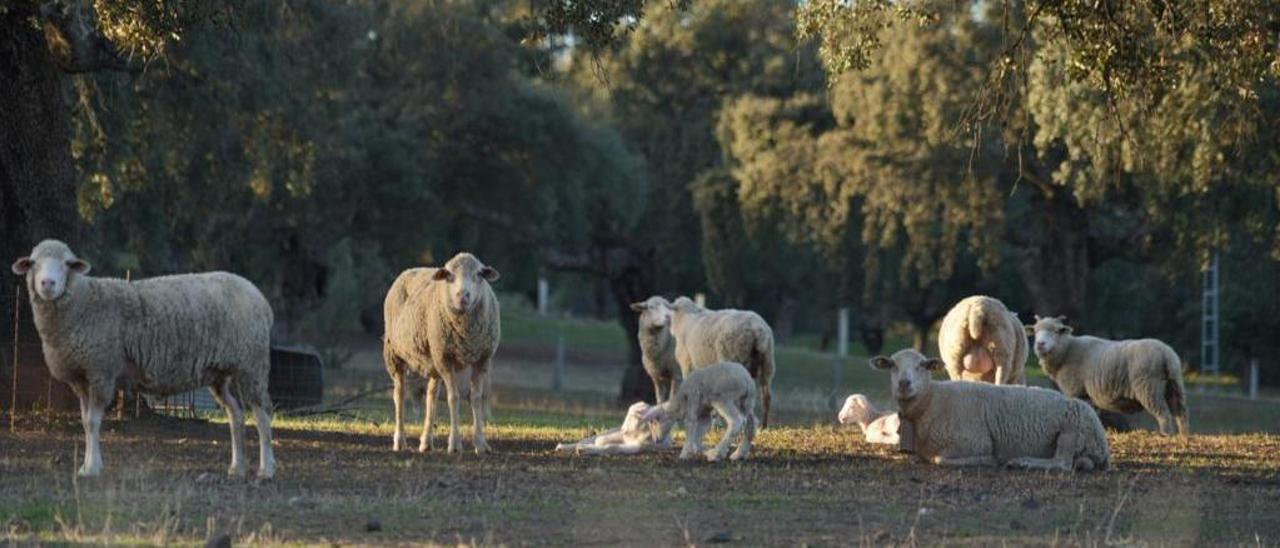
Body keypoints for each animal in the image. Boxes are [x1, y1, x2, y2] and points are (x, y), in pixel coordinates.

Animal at [11, 240, 277, 478]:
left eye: (67, 264)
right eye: (33, 263)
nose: (47, 283)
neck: (83, 303)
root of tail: (260, 297)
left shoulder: (101, 371)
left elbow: (94, 422)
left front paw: (93, 468)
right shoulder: (81, 378)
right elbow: (85, 423)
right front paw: (86, 466)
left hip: (252, 364)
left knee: (263, 415)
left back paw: (266, 469)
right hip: (220, 374)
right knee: (236, 414)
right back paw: (237, 467)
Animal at [378, 252, 499, 453]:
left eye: (479, 274)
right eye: (450, 276)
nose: (462, 296)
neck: (466, 333)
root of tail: (410, 269)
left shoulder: (482, 359)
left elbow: (475, 398)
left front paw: (481, 444)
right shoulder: (446, 358)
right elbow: (453, 398)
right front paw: (455, 444)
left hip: (434, 359)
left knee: (431, 396)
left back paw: (426, 442)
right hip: (395, 354)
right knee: (399, 395)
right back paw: (400, 440)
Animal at [655, 295, 773, 427]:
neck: (685, 318)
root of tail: (757, 329)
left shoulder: (687, 364)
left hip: (733, 357)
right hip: (767, 362)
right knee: (766, 395)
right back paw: (763, 426)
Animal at [870, 345, 1111, 471]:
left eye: (922, 366)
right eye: (892, 365)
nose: (904, 383)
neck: (932, 400)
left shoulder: (974, 442)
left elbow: (940, 459)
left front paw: (989, 460)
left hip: (1072, 429)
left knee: (1062, 463)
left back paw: (1022, 462)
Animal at [1018, 316, 1187, 437]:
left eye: (1055, 331)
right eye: (1036, 331)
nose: (1040, 344)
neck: (1067, 351)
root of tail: (1165, 353)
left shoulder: (1073, 390)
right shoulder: (1088, 396)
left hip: (1148, 385)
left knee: (1163, 413)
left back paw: (1164, 434)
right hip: (1174, 384)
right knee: (1181, 412)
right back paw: (1183, 435)